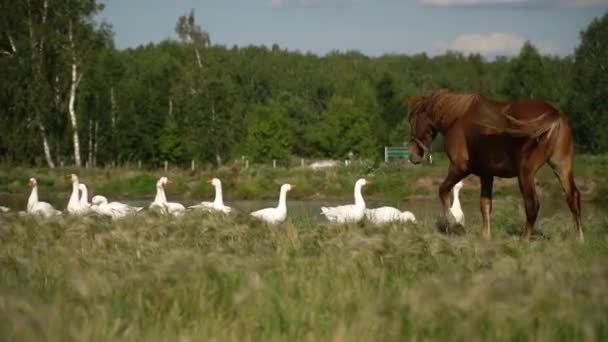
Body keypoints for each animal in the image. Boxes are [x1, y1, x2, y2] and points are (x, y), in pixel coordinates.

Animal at [404, 89, 584, 242]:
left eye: (412, 120)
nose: (413, 155)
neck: (458, 118)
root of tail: (554, 114)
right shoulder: (487, 174)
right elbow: (485, 205)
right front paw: (486, 235)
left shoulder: (459, 167)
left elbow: (442, 190)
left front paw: (454, 224)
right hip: (562, 167)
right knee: (573, 198)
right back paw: (580, 238)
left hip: (525, 173)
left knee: (533, 205)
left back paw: (524, 239)